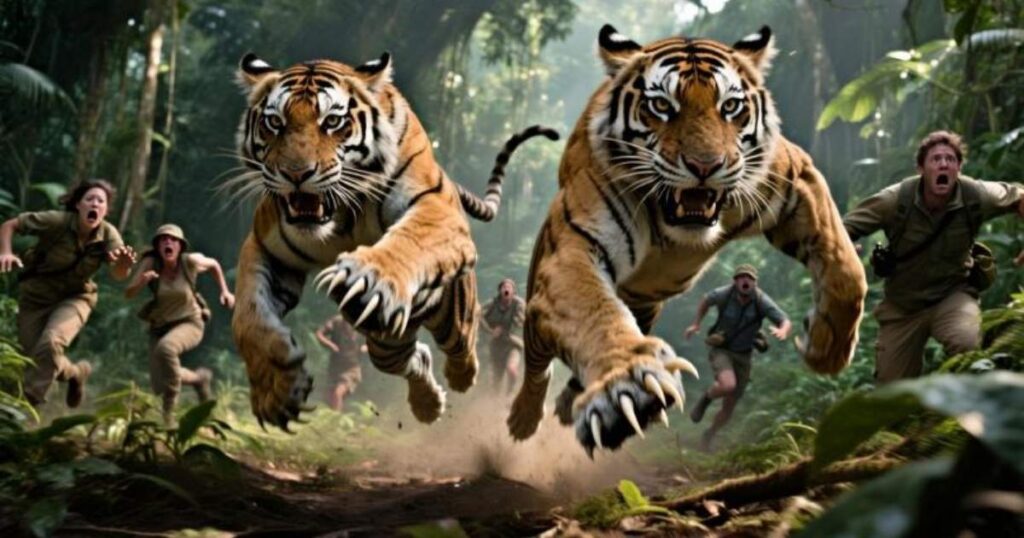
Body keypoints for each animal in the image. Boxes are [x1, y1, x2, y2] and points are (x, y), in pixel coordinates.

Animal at [231, 51, 558, 430]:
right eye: (274, 122)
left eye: (332, 121)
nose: (295, 174)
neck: (343, 215)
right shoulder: (265, 245)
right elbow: (248, 317)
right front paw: (277, 390)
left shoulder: (435, 208)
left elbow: (409, 240)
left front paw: (369, 279)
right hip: (386, 338)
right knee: (412, 357)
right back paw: (428, 406)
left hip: (453, 315)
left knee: (462, 344)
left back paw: (463, 377)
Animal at [506, 25, 867, 455]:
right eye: (662, 105)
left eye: (730, 106)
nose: (705, 166)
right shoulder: (573, 251)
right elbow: (594, 312)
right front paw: (626, 388)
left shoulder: (795, 176)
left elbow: (846, 270)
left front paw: (826, 347)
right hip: (538, 299)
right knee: (536, 366)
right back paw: (523, 420)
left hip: (644, 306)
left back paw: (566, 403)